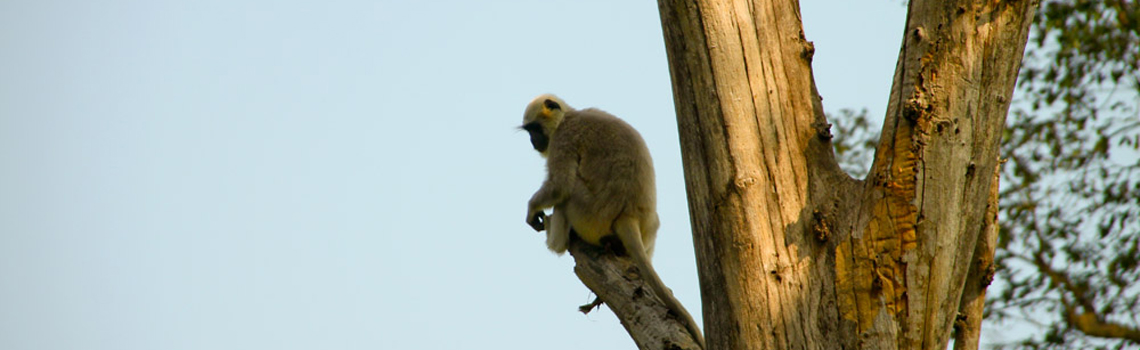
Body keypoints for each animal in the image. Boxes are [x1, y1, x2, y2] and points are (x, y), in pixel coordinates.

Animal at [519, 94, 702, 348]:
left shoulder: (563, 139)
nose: (532, 141)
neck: (568, 116)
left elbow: (560, 185)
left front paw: (532, 210)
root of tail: (629, 215)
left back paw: (555, 241)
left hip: (588, 214)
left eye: (535, 129)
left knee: (567, 194)